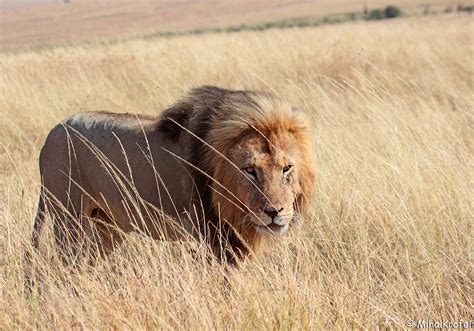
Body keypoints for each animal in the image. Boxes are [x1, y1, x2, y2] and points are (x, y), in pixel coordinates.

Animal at [31, 85, 316, 264]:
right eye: (250, 171)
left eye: (287, 168)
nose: (274, 212)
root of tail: (51, 134)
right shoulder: (211, 236)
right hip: (69, 221)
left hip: (106, 225)